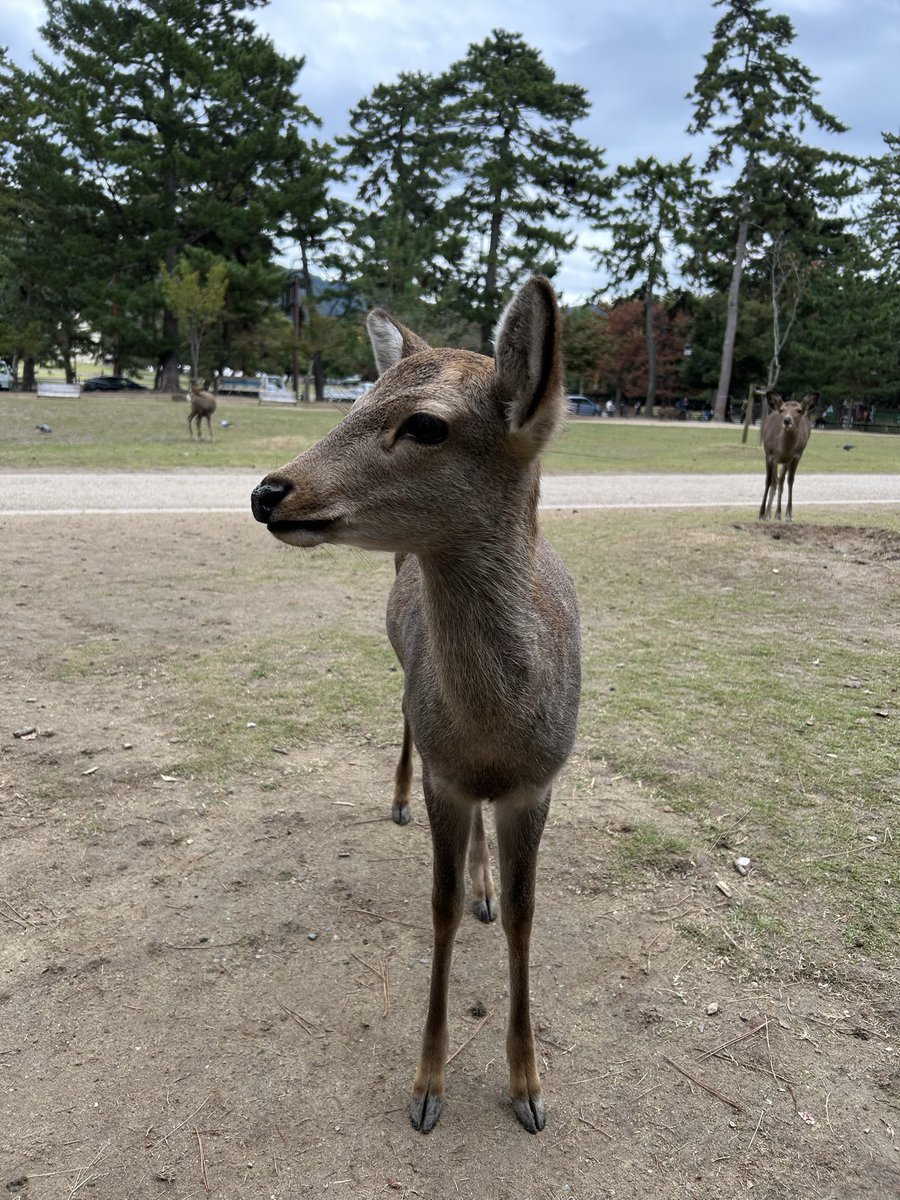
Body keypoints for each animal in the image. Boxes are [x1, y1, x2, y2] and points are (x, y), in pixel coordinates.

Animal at [250, 276, 581, 1135]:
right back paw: (401, 807)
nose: (268, 490)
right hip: (406, 677)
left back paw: (485, 886)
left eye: (426, 423)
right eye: (358, 398)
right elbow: (437, 912)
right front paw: (427, 1088)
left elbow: (527, 916)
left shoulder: (539, 782)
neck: (494, 732)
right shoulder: (445, 774)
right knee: (402, 718)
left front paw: (530, 1088)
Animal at [759, 390, 819, 522]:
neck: (783, 450)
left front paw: (788, 514)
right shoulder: (770, 455)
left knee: (781, 481)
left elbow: (790, 481)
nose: (787, 420)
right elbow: (769, 481)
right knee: (774, 481)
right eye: (782, 410)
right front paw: (762, 514)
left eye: (799, 410)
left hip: (786, 462)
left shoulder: (795, 457)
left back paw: (777, 513)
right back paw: (768, 513)